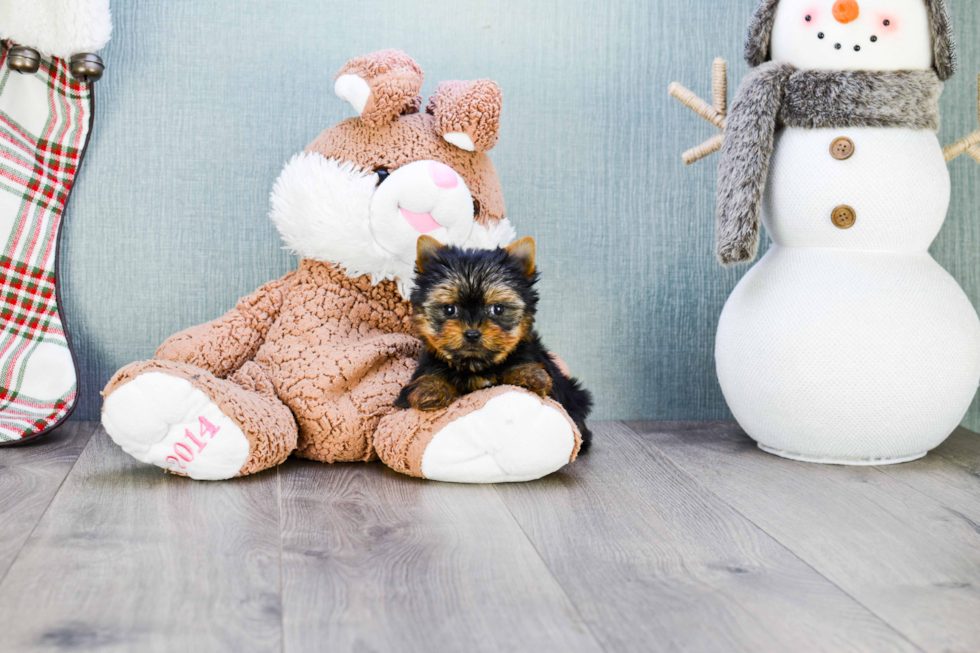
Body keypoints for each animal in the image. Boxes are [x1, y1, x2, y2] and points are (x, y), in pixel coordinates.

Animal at [394, 237, 592, 450]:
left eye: (498, 309)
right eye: (449, 309)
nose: (472, 333)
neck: (477, 366)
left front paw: (529, 375)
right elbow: (427, 379)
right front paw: (430, 388)